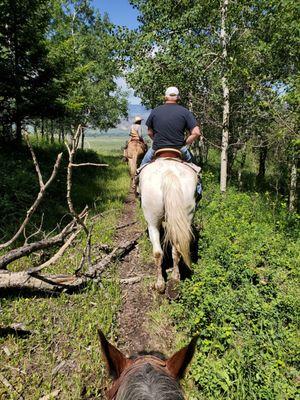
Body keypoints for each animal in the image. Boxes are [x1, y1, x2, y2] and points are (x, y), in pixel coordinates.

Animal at [139, 159, 198, 294]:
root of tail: (169, 173)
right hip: (187, 214)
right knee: (176, 250)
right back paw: (175, 280)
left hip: (152, 221)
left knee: (157, 252)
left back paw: (160, 285)